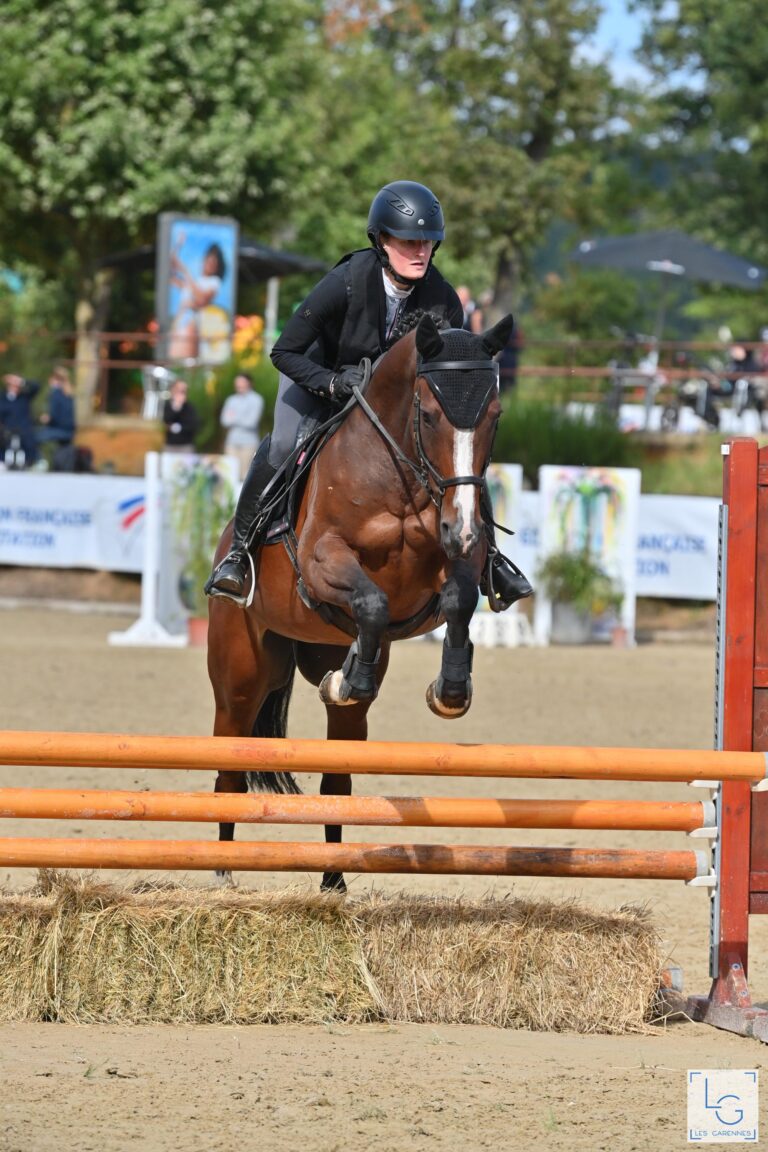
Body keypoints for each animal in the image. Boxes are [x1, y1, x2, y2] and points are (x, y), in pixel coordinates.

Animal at [207, 311, 515, 891]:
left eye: (496, 416)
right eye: (430, 415)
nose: (463, 527)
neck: (400, 473)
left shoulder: (448, 566)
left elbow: (459, 600)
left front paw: (450, 690)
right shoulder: (323, 560)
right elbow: (371, 601)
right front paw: (353, 678)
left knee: (337, 782)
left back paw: (333, 881)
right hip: (240, 675)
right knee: (230, 767)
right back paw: (220, 874)